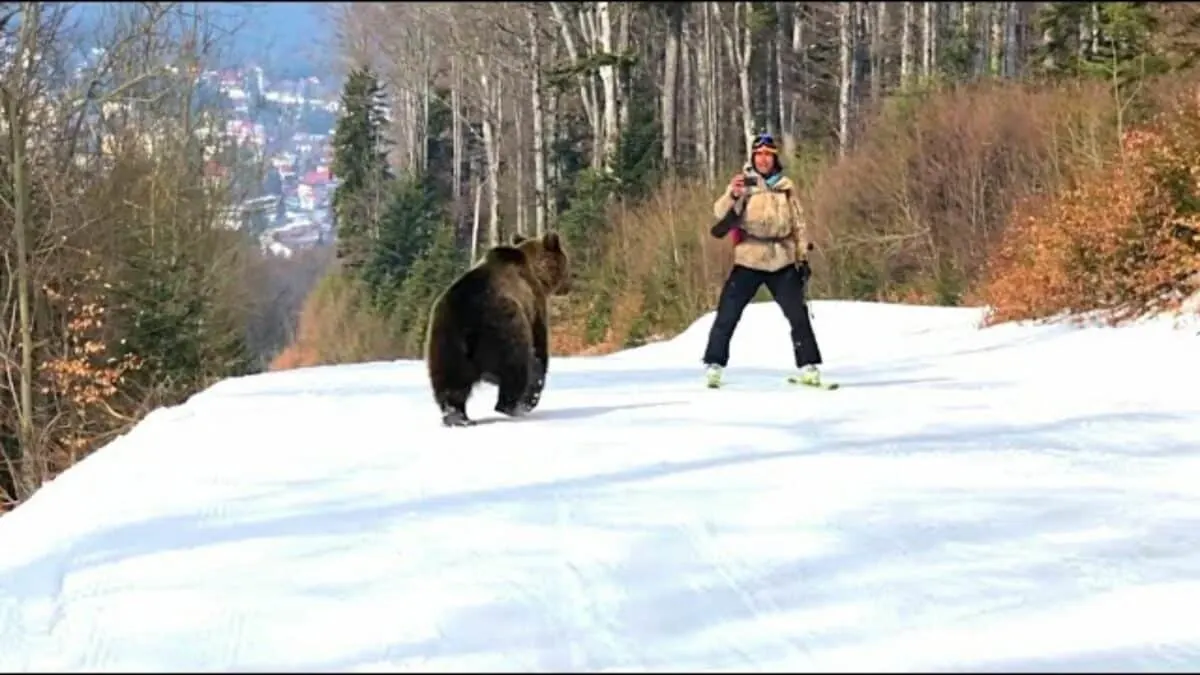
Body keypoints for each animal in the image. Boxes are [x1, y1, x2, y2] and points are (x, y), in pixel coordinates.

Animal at [422, 228, 571, 422]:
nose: (569, 284)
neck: (537, 274)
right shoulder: (534, 305)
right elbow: (539, 348)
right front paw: (532, 395)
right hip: (504, 327)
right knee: (515, 368)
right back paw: (515, 407)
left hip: (444, 338)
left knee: (450, 383)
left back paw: (458, 417)